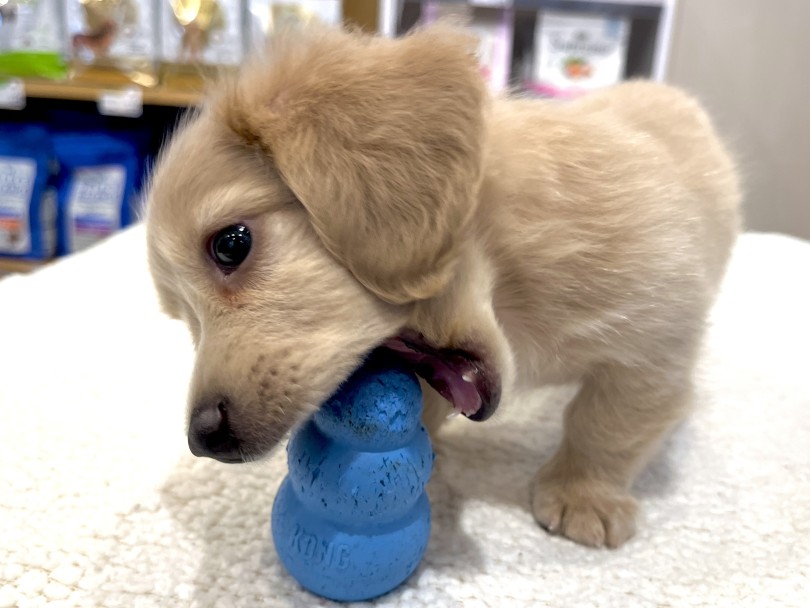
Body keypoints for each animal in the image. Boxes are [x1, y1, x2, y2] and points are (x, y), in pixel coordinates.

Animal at [145, 23, 740, 548]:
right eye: (183, 319)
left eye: (231, 244)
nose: (203, 440)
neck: (513, 299)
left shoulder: (654, 348)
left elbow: (608, 424)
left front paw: (583, 496)